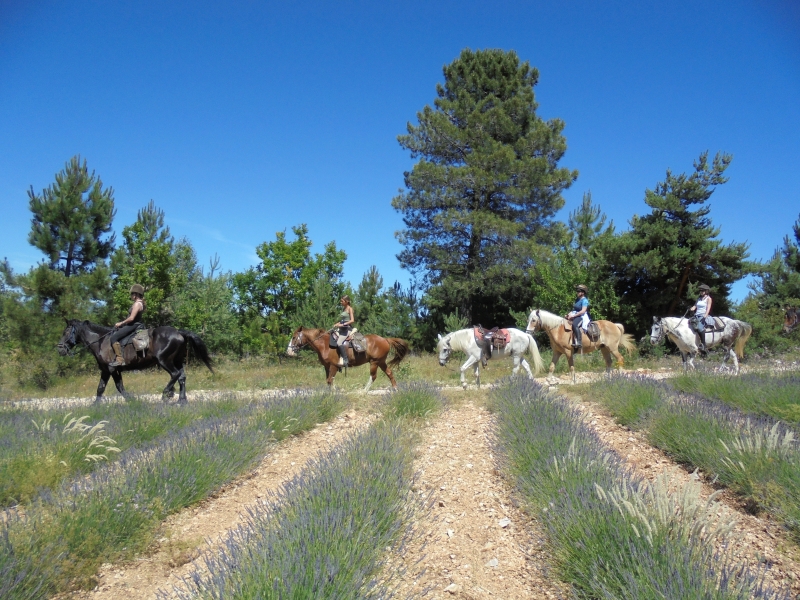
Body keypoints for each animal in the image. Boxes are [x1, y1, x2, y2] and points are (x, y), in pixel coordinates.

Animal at [57, 318, 212, 404]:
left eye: (66, 332)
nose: (60, 349)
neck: (101, 341)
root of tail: (179, 333)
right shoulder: (109, 370)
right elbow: (102, 388)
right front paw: (95, 406)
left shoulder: (110, 369)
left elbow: (115, 387)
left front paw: (133, 401)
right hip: (177, 361)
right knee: (182, 377)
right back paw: (182, 399)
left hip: (164, 361)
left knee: (175, 375)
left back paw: (166, 394)